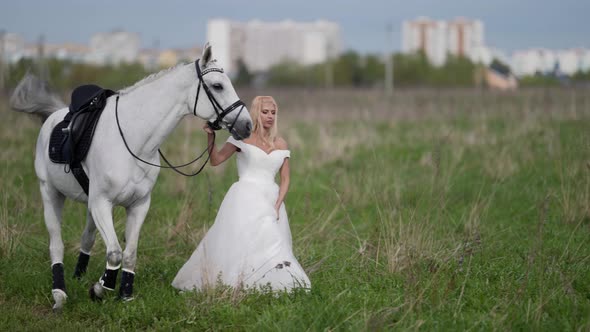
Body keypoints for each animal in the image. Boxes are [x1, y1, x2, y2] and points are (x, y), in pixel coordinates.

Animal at [9, 44, 252, 312]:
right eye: (218, 86)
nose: (247, 125)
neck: (133, 139)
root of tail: (54, 115)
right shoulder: (102, 203)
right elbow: (115, 252)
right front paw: (99, 289)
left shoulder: (138, 205)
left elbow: (129, 253)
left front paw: (124, 294)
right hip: (51, 195)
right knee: (56, 244)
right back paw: (59, 293)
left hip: (89, 203)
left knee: (87, 238)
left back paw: (78, 276)